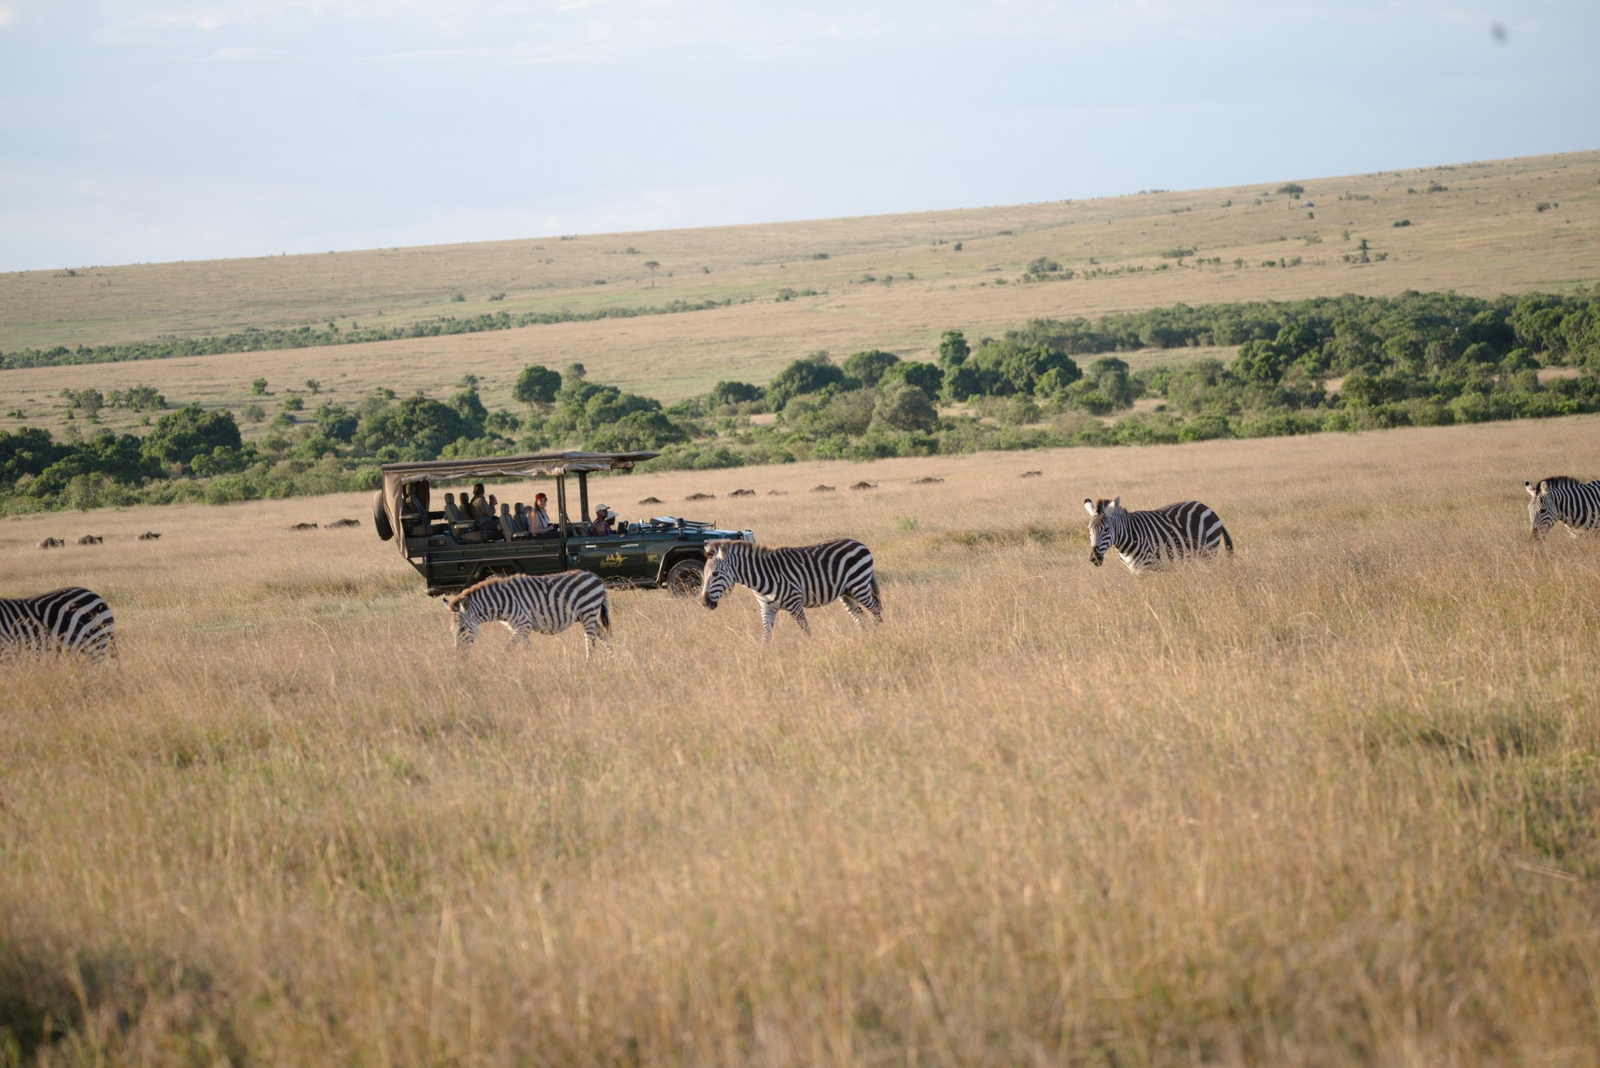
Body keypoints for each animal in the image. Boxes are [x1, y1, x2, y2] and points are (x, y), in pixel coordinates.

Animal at [443, 571, 611, 657]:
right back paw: (611, 660)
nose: (458, 656)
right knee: (604, 635)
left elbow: (506, 649)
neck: (501, 601)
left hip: (588, 612)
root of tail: (595, 576)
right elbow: (528, 649)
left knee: (590, 642)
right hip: (585, 616)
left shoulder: (524, 624)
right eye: (451, 631)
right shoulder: (521, 629)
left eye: (462, 629)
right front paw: (535, 664)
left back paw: (589, 665)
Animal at [699, 537, 882, 640]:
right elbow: (766, 637)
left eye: (715, 574)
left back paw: (880, 634)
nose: (704, 603)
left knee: (876, 608)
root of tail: (858, 543)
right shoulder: (766, 609)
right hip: (847, 593)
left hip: (859, 585)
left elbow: (806, 631)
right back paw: (865, 638)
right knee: (860, 616)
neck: (761, 578)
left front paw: (811, 649)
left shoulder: (795, 605)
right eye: (703, 575)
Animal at [1083, 496, 1233, 572]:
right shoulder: (1134, 570)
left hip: (1209, 551)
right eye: (1089, 530)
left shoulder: (1145, 567)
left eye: (1106, 529)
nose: (1094, 558)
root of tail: (1209, 509)